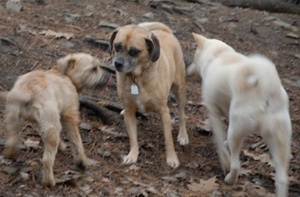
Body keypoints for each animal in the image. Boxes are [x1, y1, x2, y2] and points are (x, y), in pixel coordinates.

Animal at [0, 53, 112, 187]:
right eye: (94, 69)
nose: (108, 77)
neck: (65, 75)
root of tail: (28, 89)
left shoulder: (43, 123)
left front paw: (62, 146)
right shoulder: (70, 117)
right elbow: (76, 141)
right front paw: (81, 161)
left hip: (14, 119)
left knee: (12, 139)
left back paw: (10, 153)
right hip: (52, 126)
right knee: (47, 159)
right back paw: (50, 181)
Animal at [110, 22, 189, 169]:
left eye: (133, 51)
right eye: (117, 46)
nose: (117, 63)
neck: (137, 78)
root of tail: (166, 31)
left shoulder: (164, 112)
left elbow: (168, 139)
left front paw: (171, 158)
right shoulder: (130, 112)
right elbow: (133, 138)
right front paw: (132, 155)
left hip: (180, 89)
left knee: (182, 114)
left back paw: (183, 135)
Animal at [189, 33, 292, 196]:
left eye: (194, 57)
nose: (188, 69)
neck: (219, 55)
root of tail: (266, 87)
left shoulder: (213, 112)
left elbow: (220, 143)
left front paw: (224, 160)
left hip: (236, 131)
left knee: (236, 165)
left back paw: (229, 179)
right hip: (280, 142)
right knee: (282, 179)